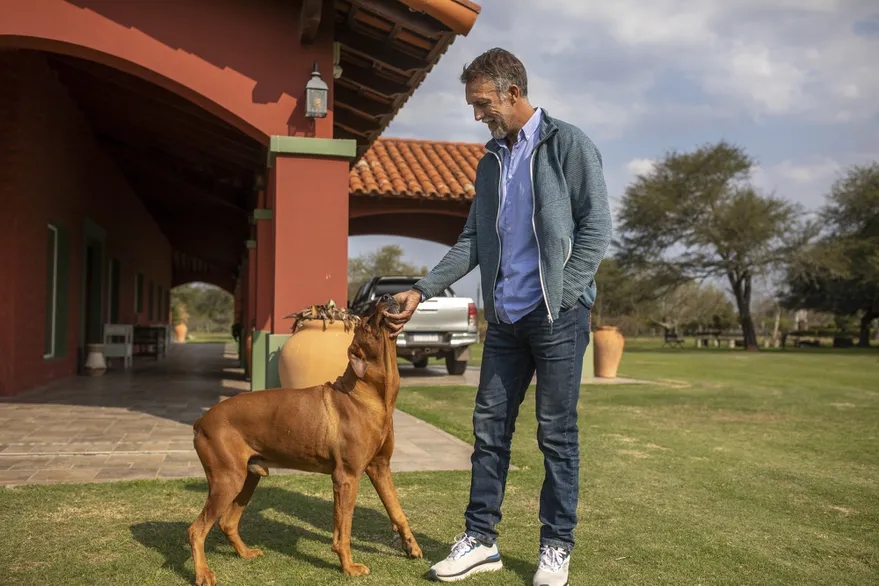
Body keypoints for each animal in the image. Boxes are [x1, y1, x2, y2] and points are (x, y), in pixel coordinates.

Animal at [186, 294, 422, 580]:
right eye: (366, 323)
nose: (388, 296)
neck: (372, 395)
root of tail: (202, 420)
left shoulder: (380, 468)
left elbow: (397, 511)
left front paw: (411, 546)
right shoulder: (346, 478)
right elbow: (343, 530)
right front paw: (348, 566)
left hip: (248, 478)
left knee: (227, 522)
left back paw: (245, 553)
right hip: (227, 480)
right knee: (196, 530)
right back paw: (203, 573)